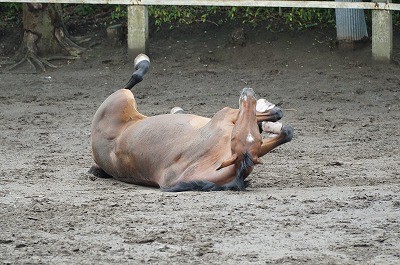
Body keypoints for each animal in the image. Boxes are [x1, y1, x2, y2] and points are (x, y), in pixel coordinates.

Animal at [89, 54, 292, 190]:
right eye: (236, 136)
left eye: (256, 139)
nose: (248, 93)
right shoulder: (225, 115)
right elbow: (279, 119)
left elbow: (285, 131)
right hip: (123, 96)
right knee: (132, 80)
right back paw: (143, 62)